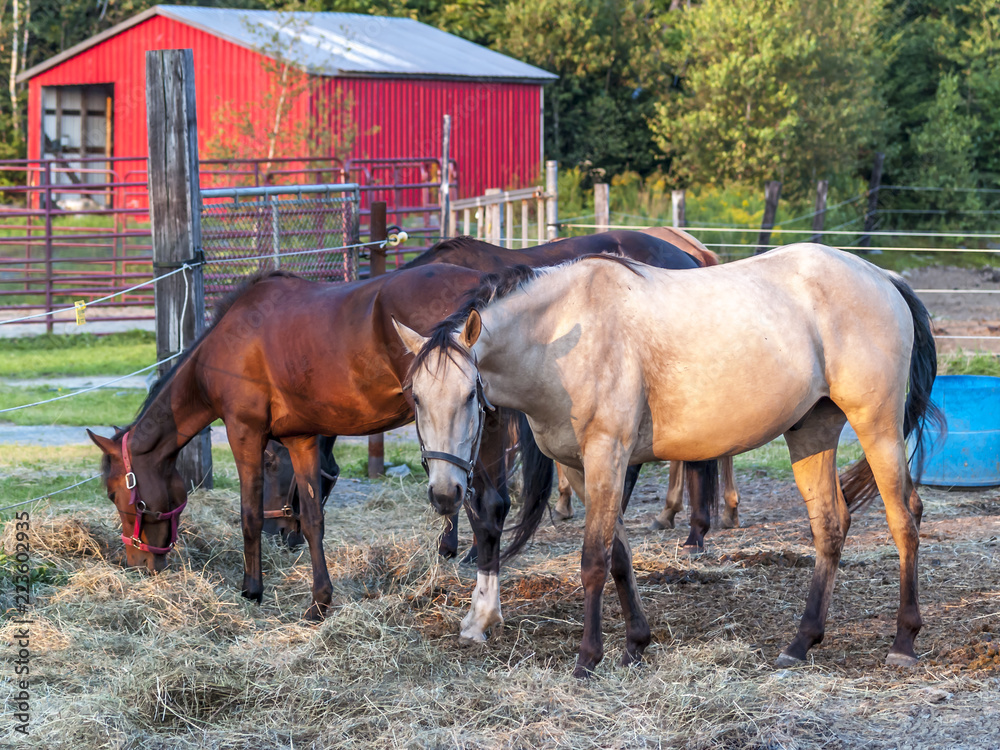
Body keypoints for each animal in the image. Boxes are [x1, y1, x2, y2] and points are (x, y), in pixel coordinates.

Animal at [89, 263, 541, 629]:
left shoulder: (243, 432)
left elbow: (250, 515)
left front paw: (252, 589)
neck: (224, 347)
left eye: (113, 493)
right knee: (494, 507)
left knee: (481, 507)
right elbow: (312, 520)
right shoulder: (300, 439)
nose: (137, 563)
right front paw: (319, 602)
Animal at [395, 244, 942, 677]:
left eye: (470, 395)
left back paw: (904, 641)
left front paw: (588, 658)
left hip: (877, 426)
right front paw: (636, 644)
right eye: (415, 398)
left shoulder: (607, 456)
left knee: (904, 520)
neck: (564, 335)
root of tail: (882, 277)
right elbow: (618, 556)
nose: (444, 492)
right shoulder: (583, 467)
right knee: (830, 525)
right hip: (812, 430)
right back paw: (800, 643)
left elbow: (593, 560)